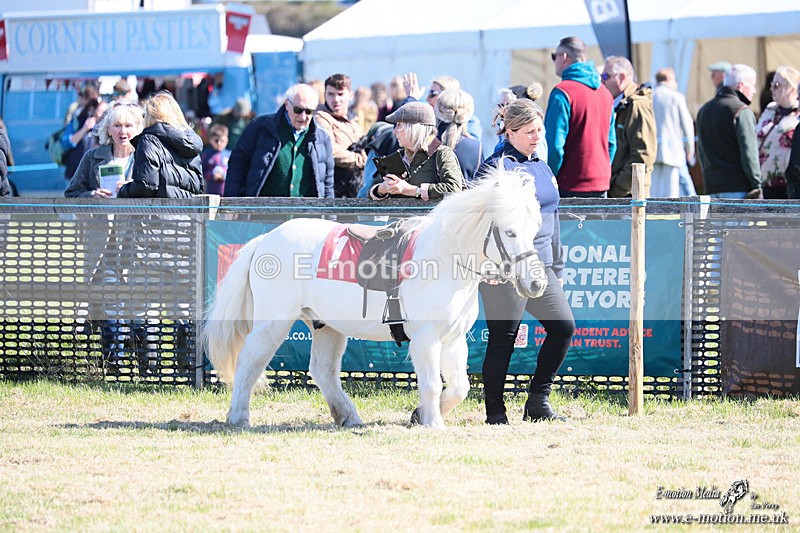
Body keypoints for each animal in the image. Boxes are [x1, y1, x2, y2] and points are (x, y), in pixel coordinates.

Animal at [202, 165, 547, 428]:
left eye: (534, 230)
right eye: (510, 232)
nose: (536, 283)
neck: (444, 260)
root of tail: (264, 240)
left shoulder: (453, 340)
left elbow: (459, 387)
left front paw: (420, 415)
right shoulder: (426, 339)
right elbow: (432, 384)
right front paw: (433, 422)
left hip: (327, 326)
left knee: (323, 371)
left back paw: (348, 417)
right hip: (273, 323)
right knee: (250, 361)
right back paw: (239, 417)